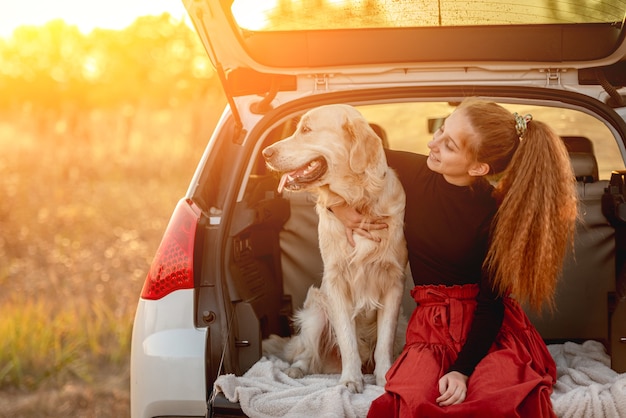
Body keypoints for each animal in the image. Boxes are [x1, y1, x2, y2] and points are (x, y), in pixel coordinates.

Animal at [260, 103, 408, 392]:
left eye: (307, 130)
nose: (265, 153)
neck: (358, 200)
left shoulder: (393, 283)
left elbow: (383, 344)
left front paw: (385, 378)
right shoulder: (337, 282)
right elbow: (347, 340)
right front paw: (351, 379)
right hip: (316, 310)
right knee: (308, 355)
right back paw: (296, 370)